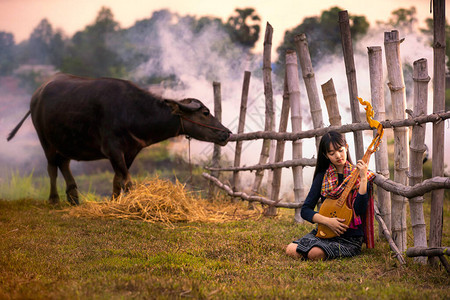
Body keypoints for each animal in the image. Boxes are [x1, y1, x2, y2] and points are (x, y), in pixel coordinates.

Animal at [7, 73, 232, 205]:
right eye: (205, 113)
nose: (226, 133)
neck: (133, 112)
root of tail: (37, 95)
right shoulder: (113, 150)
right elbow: (128, 182)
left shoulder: (130, 151)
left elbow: (118, 180)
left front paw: (114, 203)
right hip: (46, 141)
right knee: (52, 168)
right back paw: (54, 199)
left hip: (66, 142)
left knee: (64, 164)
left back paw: (74, 198)